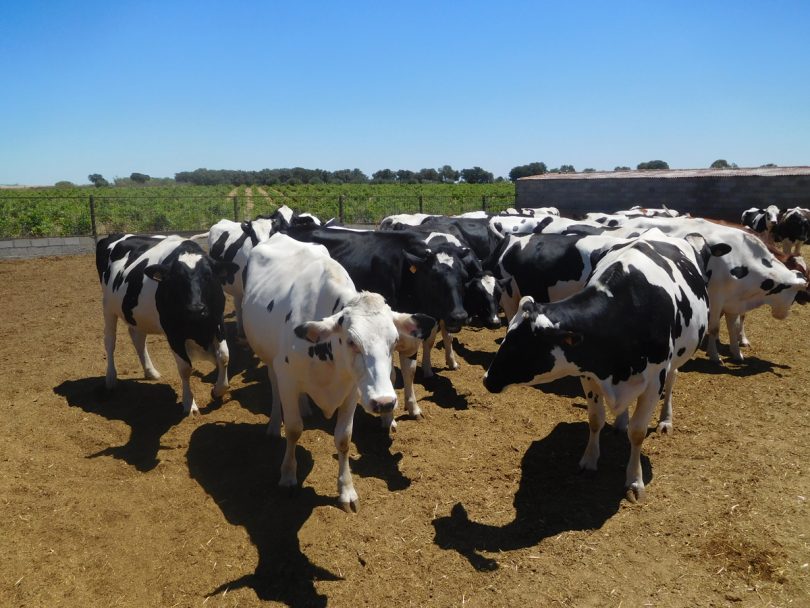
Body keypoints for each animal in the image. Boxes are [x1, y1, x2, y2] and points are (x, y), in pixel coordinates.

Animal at [96, 234, 238, 415]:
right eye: (176, 278)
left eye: (208, 276)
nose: (196, 309)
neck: (199, 329)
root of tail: (111, 236)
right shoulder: (173, 332)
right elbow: (185, 368)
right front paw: (189, 403)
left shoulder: (217, 322)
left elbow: (224, 356)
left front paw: (218, 391)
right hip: (108, 306)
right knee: (110, 341)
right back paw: (111, 379)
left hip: (138, 315)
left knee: (138, 338)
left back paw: (151, 372)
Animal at [242, 234, 435, 510]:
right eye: (352, 341)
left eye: (394, 340)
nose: (384, 402)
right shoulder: (288, 377)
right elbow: (294, 429)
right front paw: (288, 476)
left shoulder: (352, 390)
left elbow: (344, 439)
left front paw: (347, 491)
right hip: (269, 359)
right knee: (274, 387)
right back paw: (274, 424)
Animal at [484, 231, 710, 501]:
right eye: (507, 337)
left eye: (523, 346)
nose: (487, 379)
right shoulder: (589, 375)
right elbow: (595, 419)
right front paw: (589, 461)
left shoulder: (654, 382)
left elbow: (638, 432)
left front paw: (634, 481)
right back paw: (621, 422)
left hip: (677, 359)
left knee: (673, 379)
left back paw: (666, 420)